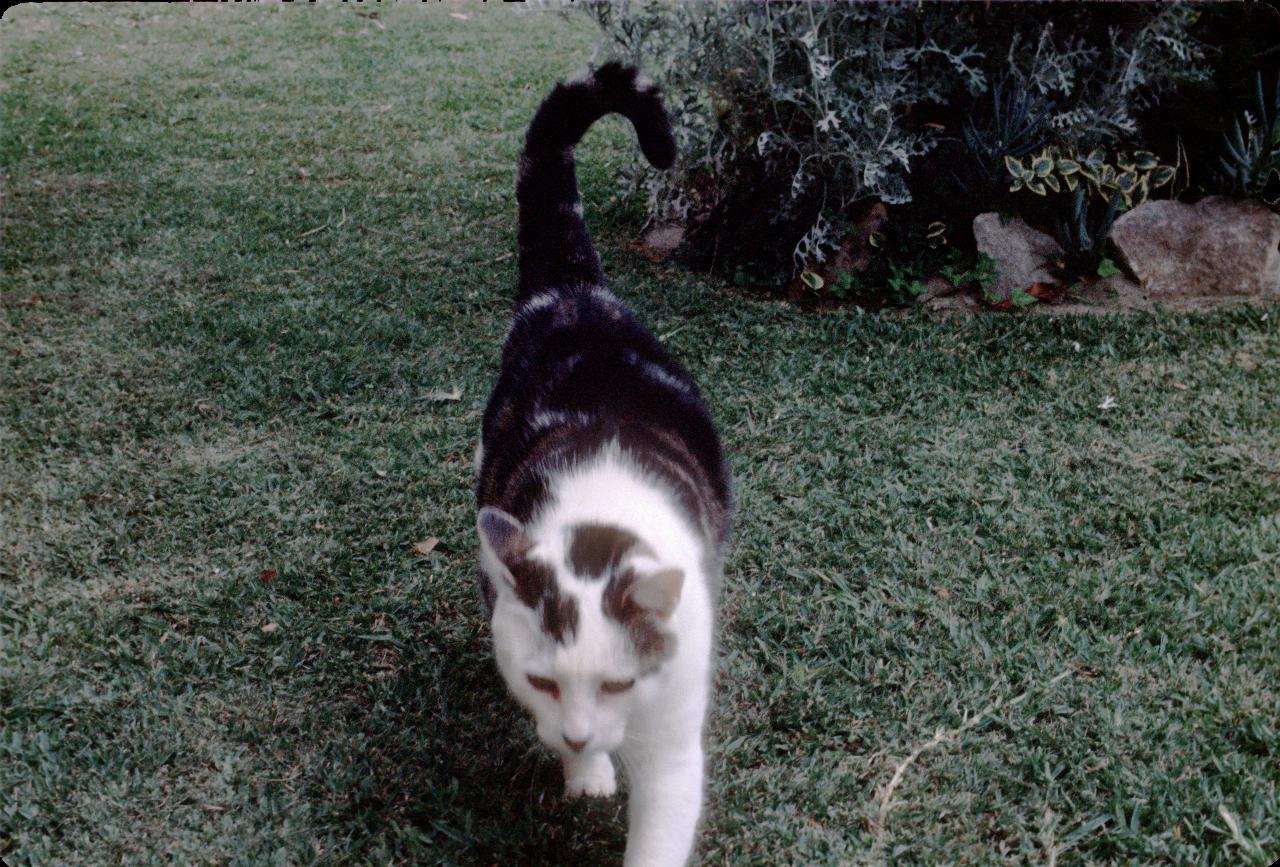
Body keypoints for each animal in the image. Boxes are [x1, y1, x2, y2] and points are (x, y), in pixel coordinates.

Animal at [473, 62, 737, 865]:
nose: (579, 732)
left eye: (620, 685)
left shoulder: (676, 737)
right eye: (542, 682)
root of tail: (576, 293)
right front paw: (586, 772)